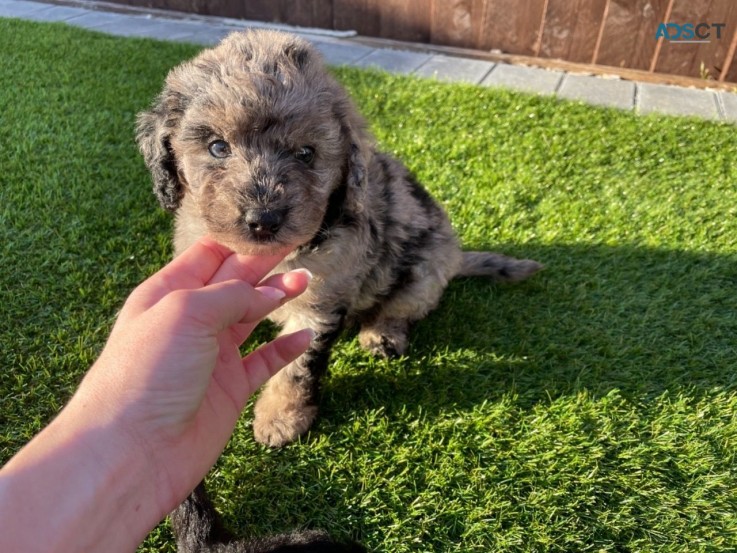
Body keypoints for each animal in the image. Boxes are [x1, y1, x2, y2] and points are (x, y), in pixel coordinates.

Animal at [138, 28, 540, 446]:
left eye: (305, 153)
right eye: (218, 146)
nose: (263, 219)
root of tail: (458, 257)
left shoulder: (320, 304)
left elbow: (297, 367)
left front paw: (281, 417)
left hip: (426, 269)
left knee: (403, 306)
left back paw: (382, 335)